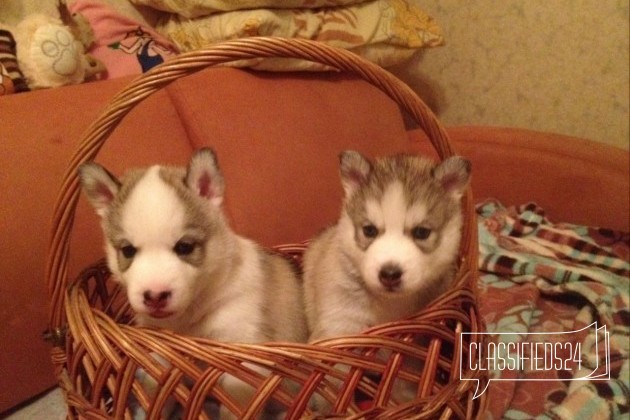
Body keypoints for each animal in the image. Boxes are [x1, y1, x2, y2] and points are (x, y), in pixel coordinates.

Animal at [80, 148, 308, 416]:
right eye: (128, 251)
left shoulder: (241, 362)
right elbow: (155, 396)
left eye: (185, 247)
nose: (155, 296)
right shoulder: (159, 353)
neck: (188, 319)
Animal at [304, 153, 472, 408]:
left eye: (421, 232)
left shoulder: (414, 346)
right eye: (369, 230)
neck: (389, 305)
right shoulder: (339, 327)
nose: (390, 274)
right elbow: (332, 376)